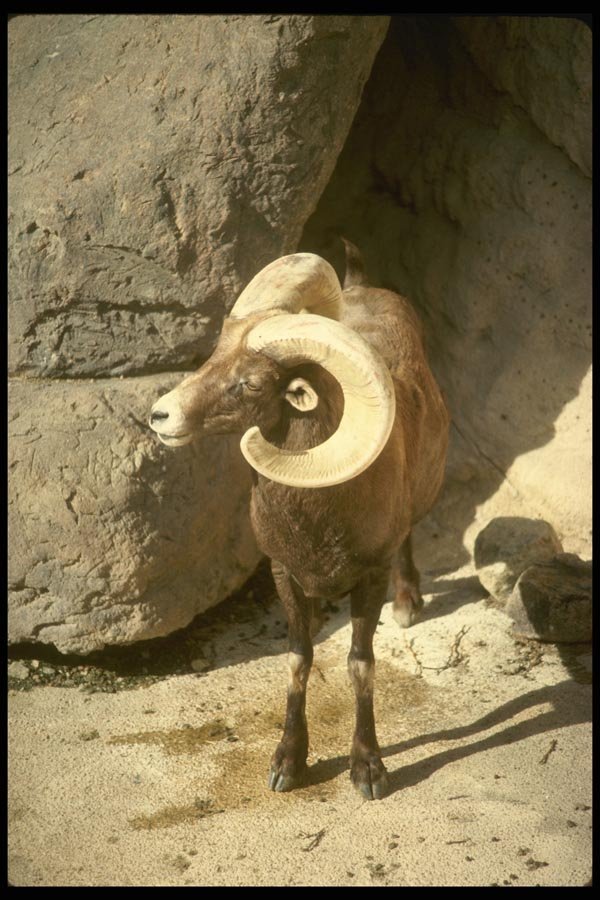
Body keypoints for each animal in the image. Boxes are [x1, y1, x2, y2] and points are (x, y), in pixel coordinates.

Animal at [149, 241, 449, 800]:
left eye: (249, 384)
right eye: (214, 355)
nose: (161, 417)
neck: (318, 518)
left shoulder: (368, 578)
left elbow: (360, 664)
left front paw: (368, 770)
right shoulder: (284, 574)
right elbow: (299, 658)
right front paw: (288, 763)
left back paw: (407, 605)